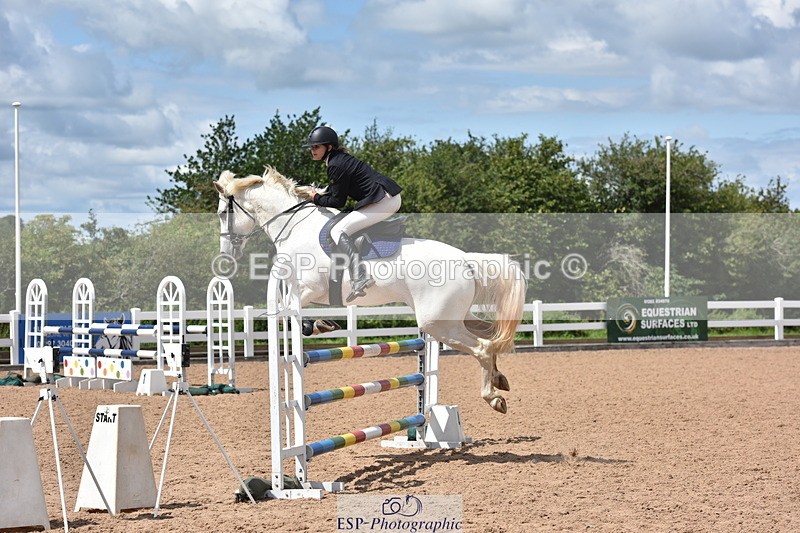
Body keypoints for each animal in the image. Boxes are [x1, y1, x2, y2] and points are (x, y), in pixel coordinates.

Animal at [213, 167, 527, 413]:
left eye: (222, 213)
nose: (227, 252)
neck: (296, 228)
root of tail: (465, 259)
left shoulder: (308, 289)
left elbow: (289, 312)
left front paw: (318, 325)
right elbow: (289, 314)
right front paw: (323, 324)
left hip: (437, 323)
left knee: (483, 347)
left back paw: (493, 397)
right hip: (452, 317)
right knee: (489, 337)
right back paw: (499, 378)